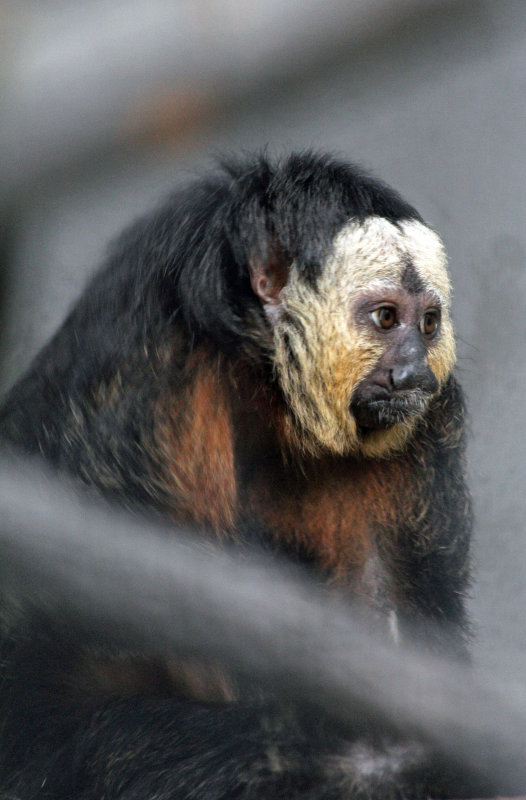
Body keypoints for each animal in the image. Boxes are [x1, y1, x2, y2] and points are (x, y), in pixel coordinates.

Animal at [0, 153, 474, 796]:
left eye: (427, 324)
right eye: (385, 318)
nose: (415, 374)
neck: (265, 381)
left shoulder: (425, 430)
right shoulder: (145, 385)